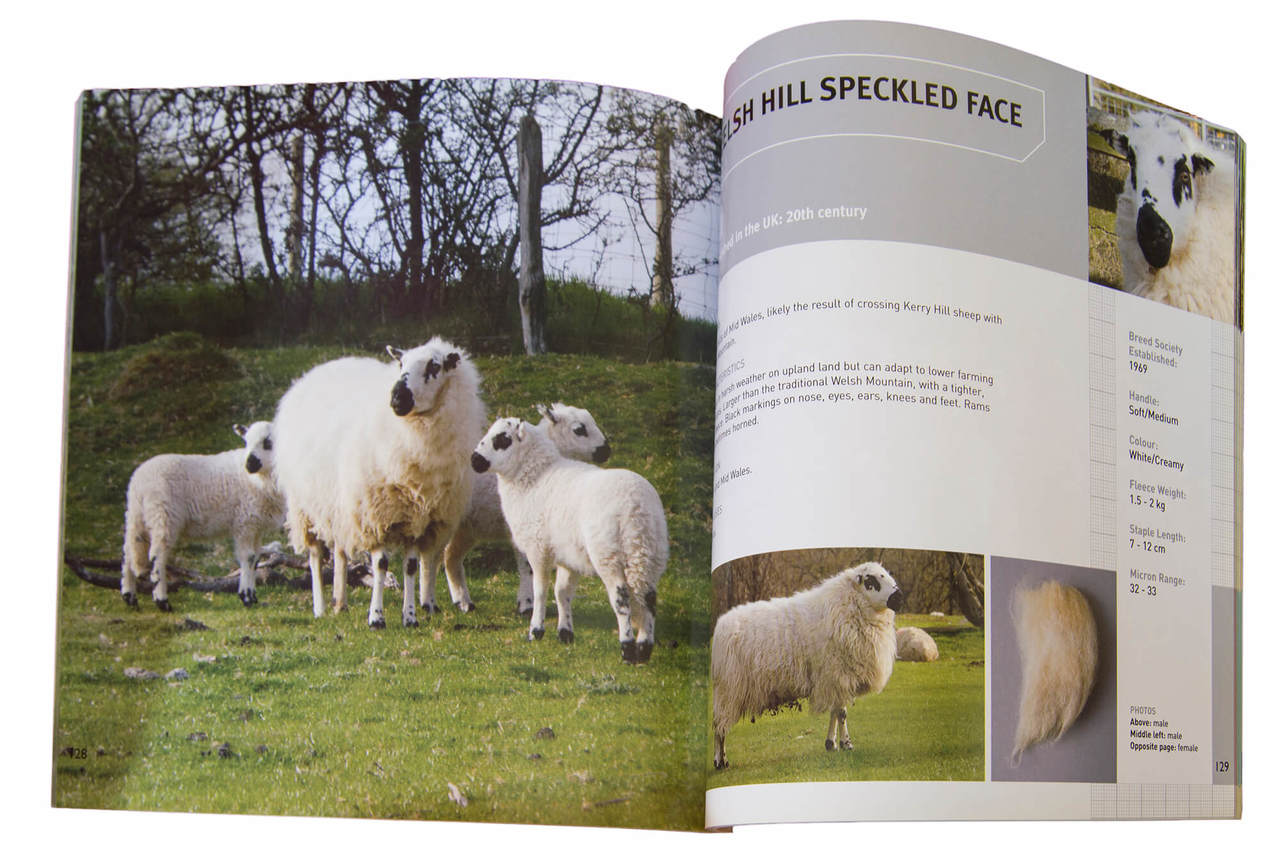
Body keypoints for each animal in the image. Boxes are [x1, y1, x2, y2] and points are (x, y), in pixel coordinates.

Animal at [121, 421, 284, 611]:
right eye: (246, 442)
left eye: (268, 443)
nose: (249, 465)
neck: (260, 480)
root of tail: (139, 481)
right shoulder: (245, 522)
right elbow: (248, 558)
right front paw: (246, 597)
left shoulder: (256, 526)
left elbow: (256, 559)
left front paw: (253, 596)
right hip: (163, 515)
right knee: (156, 556)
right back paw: (162, 601)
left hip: (137, 516)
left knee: (128, 552)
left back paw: (129, 596)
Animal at [273, 338, 486, 628]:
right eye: (400, 363)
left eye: (435, 366)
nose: (397, 397)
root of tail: (313, 372)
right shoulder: (375, 515)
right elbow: (381, 564)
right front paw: (376, 617)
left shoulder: (416, 518)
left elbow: (410, 566)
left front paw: (410, 616)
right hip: (304, 505)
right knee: (315, 554)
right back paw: (320, 607)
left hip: (340, 503)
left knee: (340, 552)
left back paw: (340, 602)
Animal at [426, 402, 611, 614]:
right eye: (579, 429)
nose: (606, 450)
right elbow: (527, 565)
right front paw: (526, 604)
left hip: (467, 528)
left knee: (450, 557)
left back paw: (463, 602)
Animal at [469, 416, 667, 664]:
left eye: (502, 439)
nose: (474, 459)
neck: (533, 478)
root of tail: (637, 507)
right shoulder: (568, 558)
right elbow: (562, 592)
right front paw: (565, 634)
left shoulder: (538, 550)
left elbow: (540, 590)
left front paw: (536, 631)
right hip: (651, 554)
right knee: (648, 598)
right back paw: (644, 648)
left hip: (609, 554)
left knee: (622, 600)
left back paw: (628, 649)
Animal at [711, 562, 903, 769]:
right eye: (870, 581)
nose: (899, 597)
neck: (847, 606)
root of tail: (721, 626)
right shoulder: (836, 674)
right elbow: (841, 713)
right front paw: (846, 744)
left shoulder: (833, 680)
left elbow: (835, 713)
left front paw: (831, 744)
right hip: (728, 690)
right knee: (719, 727)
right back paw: (720, 761)